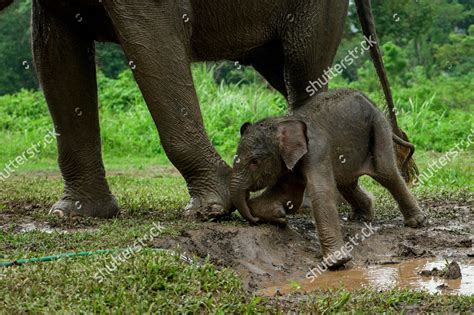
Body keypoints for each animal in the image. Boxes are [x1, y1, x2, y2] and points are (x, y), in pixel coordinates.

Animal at [230, 88, 426, 266]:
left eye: (255, 162)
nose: (255, 222)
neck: (282, 121)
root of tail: (371, 100)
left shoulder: (316, 152)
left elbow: (321, 192)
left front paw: (337, 262)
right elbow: (286, 192)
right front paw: (276, 214)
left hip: (378, 127)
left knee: (386, 172)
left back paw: (416, 222)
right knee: (347, 183)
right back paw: (361, 218)